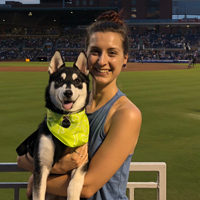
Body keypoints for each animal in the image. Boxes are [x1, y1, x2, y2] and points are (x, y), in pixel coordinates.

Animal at [16, 51, 90, 200]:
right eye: (60, 80)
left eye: (77, 81)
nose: (68, 92)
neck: (66, 122)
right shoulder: (42, 165)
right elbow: (39, 193)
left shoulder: (83, 160)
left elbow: (74, 183)